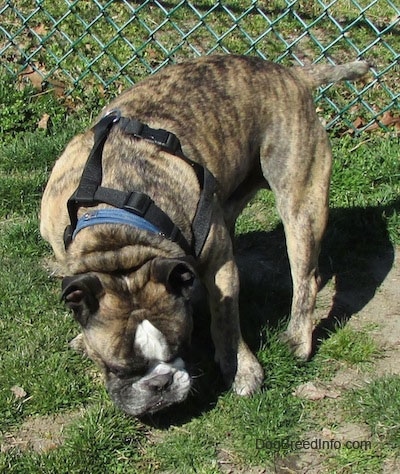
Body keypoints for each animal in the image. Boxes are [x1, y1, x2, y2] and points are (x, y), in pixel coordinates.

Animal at [40, 54, 368, 414]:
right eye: (118, 368)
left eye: (181, 346)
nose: (160, 384)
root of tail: (291, 73)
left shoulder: (219, 263)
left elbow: (225, 318)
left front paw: (241, 370)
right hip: (228, 197)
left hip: (300, 200)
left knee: (305, 277)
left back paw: (297, 339)